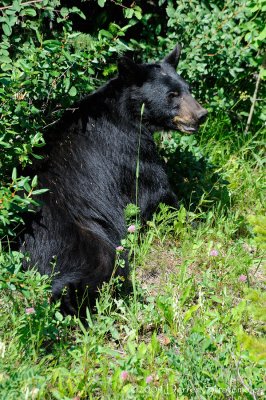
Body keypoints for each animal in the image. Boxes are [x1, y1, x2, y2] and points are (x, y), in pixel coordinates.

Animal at [20, 44, 208, 316]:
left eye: (188, 89)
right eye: (172, 95)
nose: (202, 115)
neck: (129, 111)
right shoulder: (129, 150)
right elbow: (158, 194)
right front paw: (197, 224)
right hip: (82, 242)